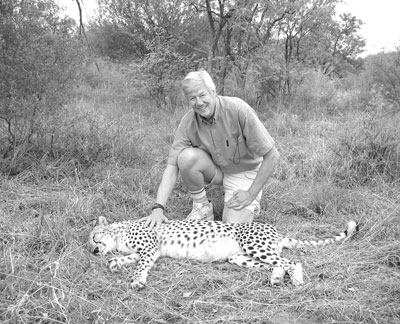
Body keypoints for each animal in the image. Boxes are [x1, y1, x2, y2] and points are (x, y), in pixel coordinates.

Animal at [86, 216, 356, 290]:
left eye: (92, 236)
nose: (92, 250)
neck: (119, 232)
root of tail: (275, 230)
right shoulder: (147, 252)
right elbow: (127, 259)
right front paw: (115, 263)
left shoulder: (150, 249)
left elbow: (140, 265)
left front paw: (137, 280)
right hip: (239, 256)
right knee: (277, 264)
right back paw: (277, 278)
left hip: (254, 245)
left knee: (292, 261)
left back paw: (296, 279)